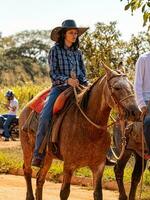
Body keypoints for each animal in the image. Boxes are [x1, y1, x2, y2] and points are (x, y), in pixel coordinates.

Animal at [19, 64, 141, 200]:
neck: (90, 130)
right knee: (27, 170)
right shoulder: (69, 165)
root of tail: (27, 107)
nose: (136, 112)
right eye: (117, 87)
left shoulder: (99, 166)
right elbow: (64, 193)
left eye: (131, 86)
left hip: (48, 156)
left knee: (40, 178)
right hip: (28, 150)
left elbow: (98, 193)